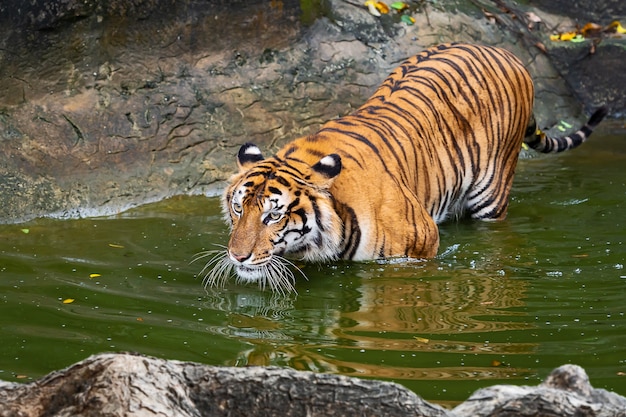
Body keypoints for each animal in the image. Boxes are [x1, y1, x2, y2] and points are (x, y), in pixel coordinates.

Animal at [199, 40, 604, 290]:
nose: (237, 256)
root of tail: (505, 51)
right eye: (238, 210)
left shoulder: (419, 249)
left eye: (273, 216)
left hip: (492, 194)